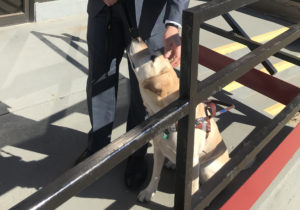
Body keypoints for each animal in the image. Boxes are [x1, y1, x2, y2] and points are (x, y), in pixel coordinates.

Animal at [126, 37, 230, 202]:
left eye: (152, 57)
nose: (137, 37)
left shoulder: (192, 161)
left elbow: (192, 188)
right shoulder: (158, 148)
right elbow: (155, 174)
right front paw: (149, 192)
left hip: (208, 168)